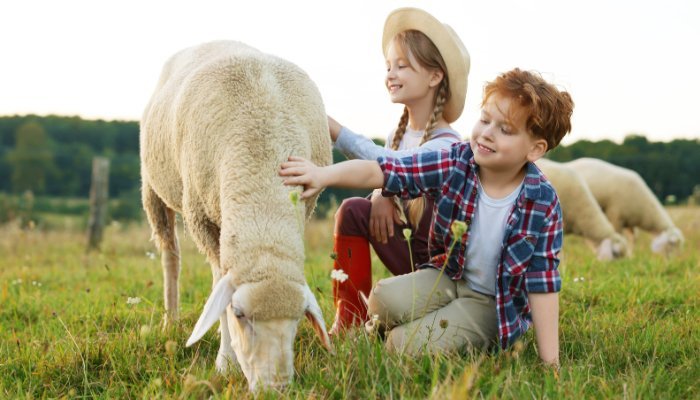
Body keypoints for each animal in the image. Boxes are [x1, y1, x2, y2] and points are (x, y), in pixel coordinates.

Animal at [140, 39, 334, 390]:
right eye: (239, 314)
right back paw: (170, 319)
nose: (275, 389)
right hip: (153, 188)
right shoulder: (202, 219)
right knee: (169, 255)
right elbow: (219, 281)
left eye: (299, 318)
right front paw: (225, 361)